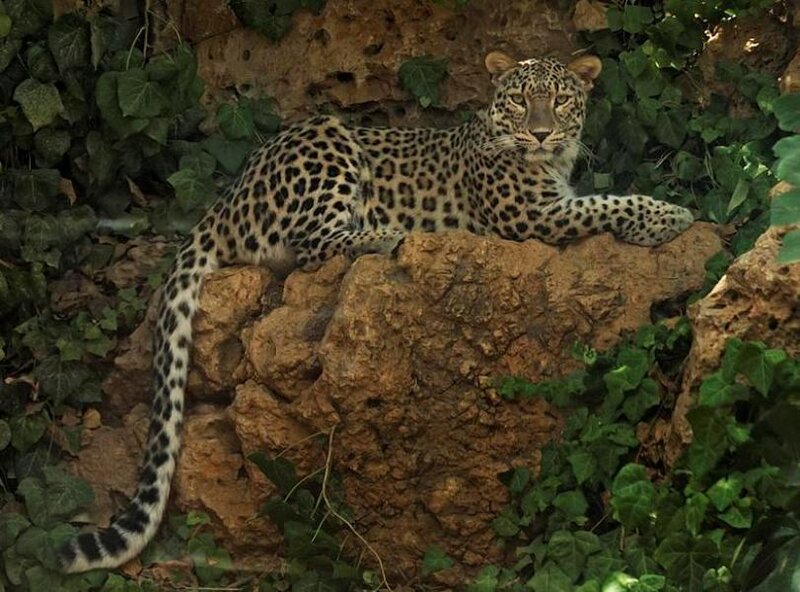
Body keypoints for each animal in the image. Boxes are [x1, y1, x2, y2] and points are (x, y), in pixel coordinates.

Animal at [59, 51, 693, 572]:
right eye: (518, 99)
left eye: (560, 100)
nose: (539, 133)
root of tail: (228, 194)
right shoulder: (531, 216)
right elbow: (605, 203)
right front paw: (670, 216)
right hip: (328, 140)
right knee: (310, 247)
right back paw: (387, 235)